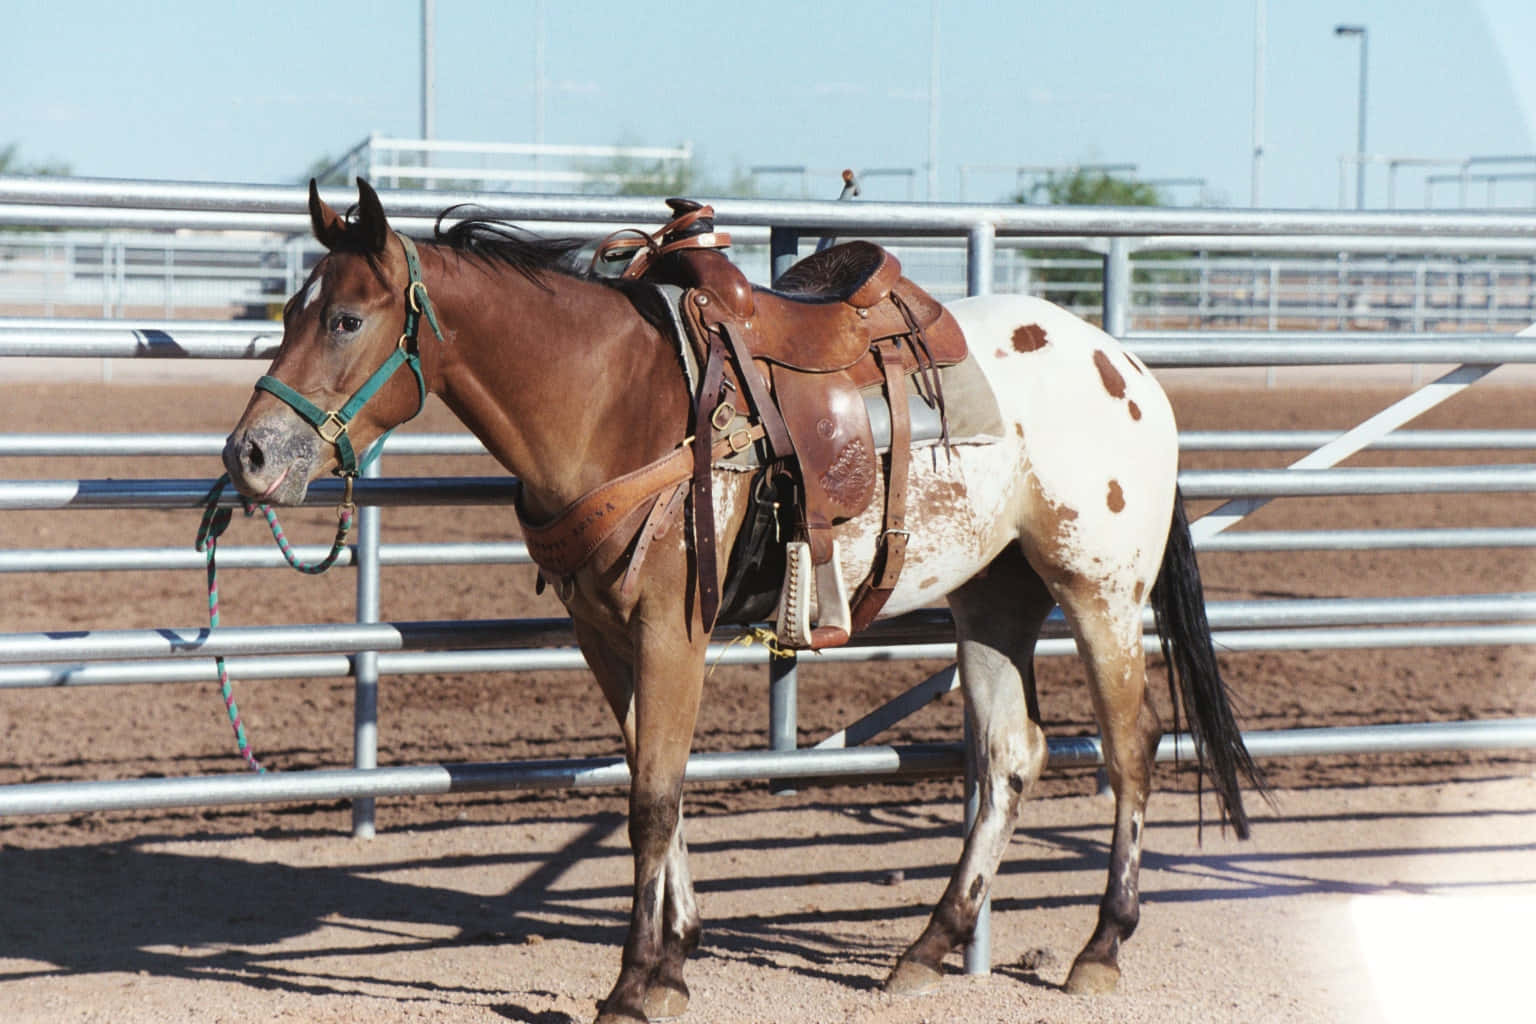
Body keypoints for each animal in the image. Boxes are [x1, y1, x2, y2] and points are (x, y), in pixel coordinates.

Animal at [222, 178, 1262, 1022]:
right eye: (291, 314)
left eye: (345, 319)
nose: (250, 456)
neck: (613, 402)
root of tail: (1127, 367)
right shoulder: (603, 634)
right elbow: (655, 777)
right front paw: (676, 957)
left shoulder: (670, 630)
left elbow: (652, 798)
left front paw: (635, 983)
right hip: (992, 597)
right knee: (1012, 754)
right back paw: (928, 947)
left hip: (1099, 588)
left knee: (1131, 745)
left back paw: (1101, 946)